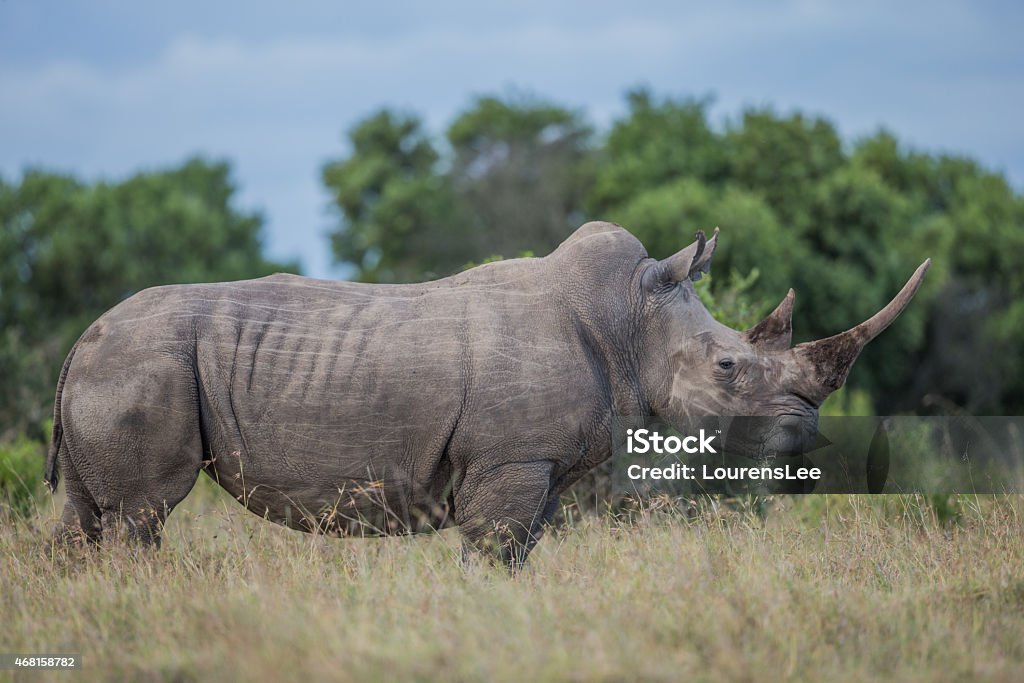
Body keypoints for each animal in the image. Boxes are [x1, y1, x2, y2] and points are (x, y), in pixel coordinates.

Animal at [46, 223, 929, 565]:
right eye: (728, 368)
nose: (805, 433)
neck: (630, 315)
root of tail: (79, 339)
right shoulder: (512, 460)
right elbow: (494, 548)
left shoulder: (539, 466)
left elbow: (520, 549)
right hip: (142, 366)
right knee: (140, 515)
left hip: (114, 368)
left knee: (84, 516)